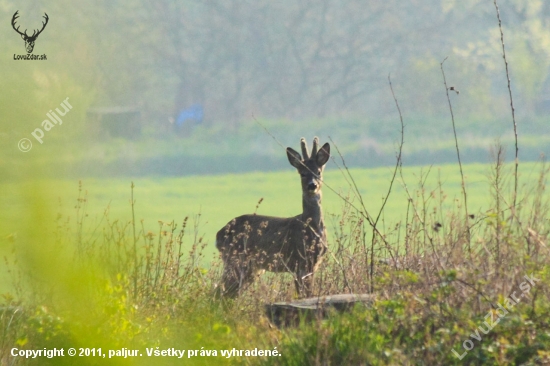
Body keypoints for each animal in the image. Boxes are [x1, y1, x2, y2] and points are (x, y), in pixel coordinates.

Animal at [216, 137, 330, 298]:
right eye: (302, 173)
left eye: (318, 172)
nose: (312, 185)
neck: (311, 227)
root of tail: (218, 234)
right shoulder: (299, 262)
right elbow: (303, 294)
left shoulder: (311, 264)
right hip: (235, 259)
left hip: (251, 268)